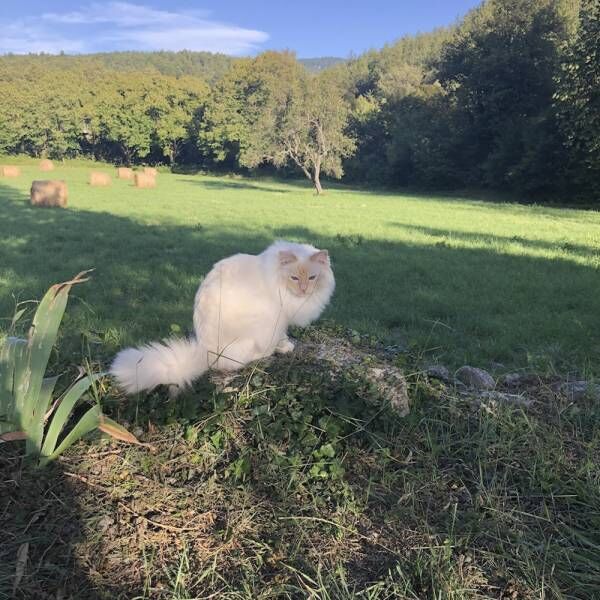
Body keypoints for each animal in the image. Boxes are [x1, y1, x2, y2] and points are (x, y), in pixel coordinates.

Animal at [108, 241, 332, 396]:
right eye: (294, 278)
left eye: (312, 278)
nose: (304, 290)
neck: (277, 280)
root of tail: (205, 351)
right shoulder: (281, 317)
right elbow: (282, 337)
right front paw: (286, 346)